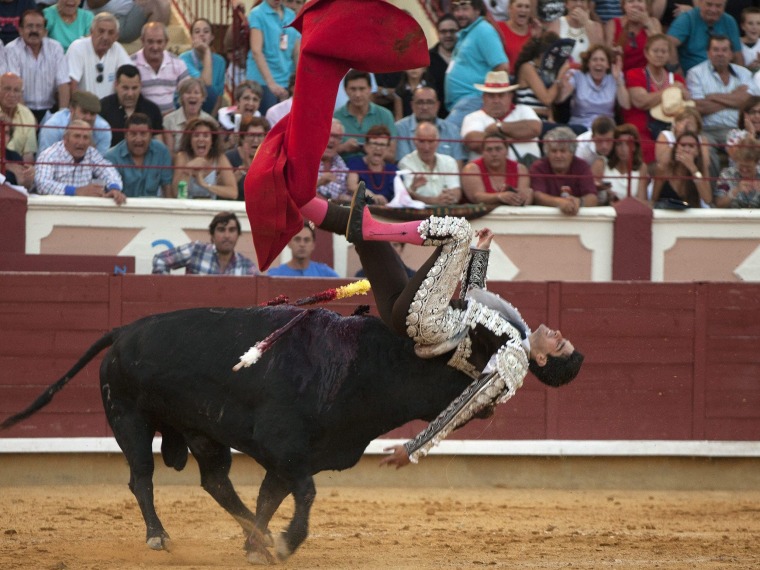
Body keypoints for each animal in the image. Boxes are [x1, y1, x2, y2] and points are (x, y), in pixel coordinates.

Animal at [0, 304, 476, 560]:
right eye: (459, 362)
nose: (487, 393)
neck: (361, 364)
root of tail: (123, 330)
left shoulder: (294, 458)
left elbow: (270, 496)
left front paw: (258, 543)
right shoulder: (284, 448)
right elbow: (303, 493)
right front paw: (282, 544)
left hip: (202, 432)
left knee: (215, 481)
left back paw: (253, 536)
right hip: (129, 420)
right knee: (142, 478)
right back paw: (158, 536)